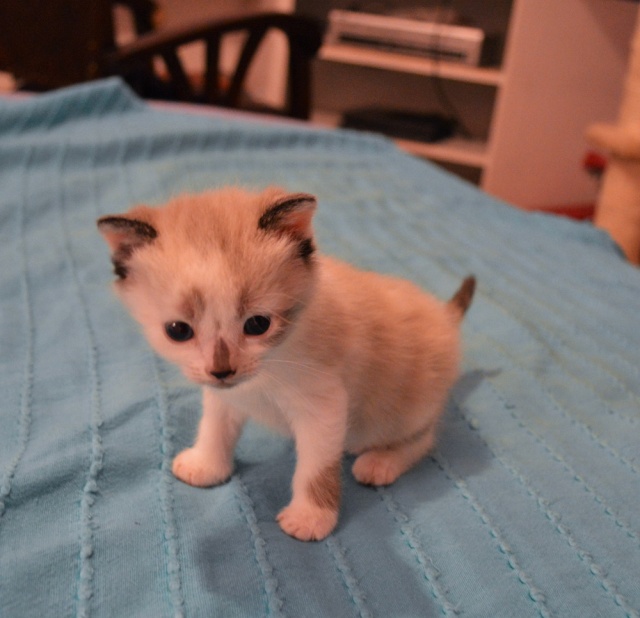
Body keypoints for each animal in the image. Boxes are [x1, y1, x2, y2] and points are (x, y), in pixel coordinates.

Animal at [96, 186, 476, 540]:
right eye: (178, 330)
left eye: (257, 324)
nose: (223, 371)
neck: (269, 366)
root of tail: (445, 316)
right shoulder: (226, 393)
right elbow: (215, 426)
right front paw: (207, 465)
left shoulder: (324, 407)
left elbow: (315, 468)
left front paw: (311, 517)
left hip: (405, 410)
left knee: (425, 438)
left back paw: (380, 461)